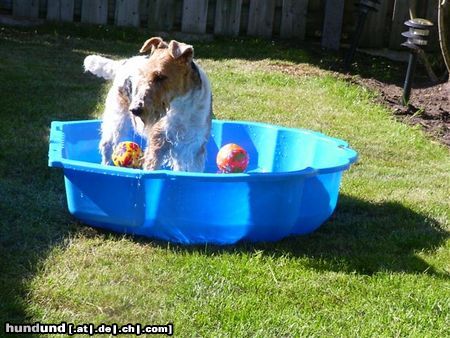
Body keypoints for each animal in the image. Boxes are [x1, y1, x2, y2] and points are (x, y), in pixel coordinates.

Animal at [84, 37, 213, 172]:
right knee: (107, 146)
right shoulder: (158, 142)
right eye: (142, 75)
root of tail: (124, 63)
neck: (181, 105)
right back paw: (106, 166)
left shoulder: (193, 147)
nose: (135, 109)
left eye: (160, 76)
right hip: (116, 117)